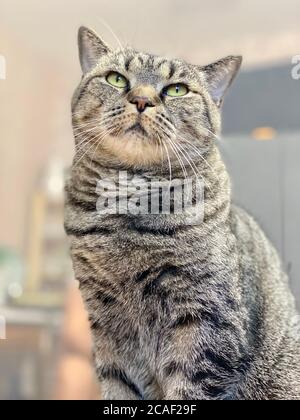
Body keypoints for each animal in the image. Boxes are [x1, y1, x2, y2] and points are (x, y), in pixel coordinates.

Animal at [65, 27, 300, 400]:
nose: (142, 100)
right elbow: (118, 386)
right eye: (117, 79)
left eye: (176, 89)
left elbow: (190, 389)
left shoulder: (204, 323)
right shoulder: (107, 327)